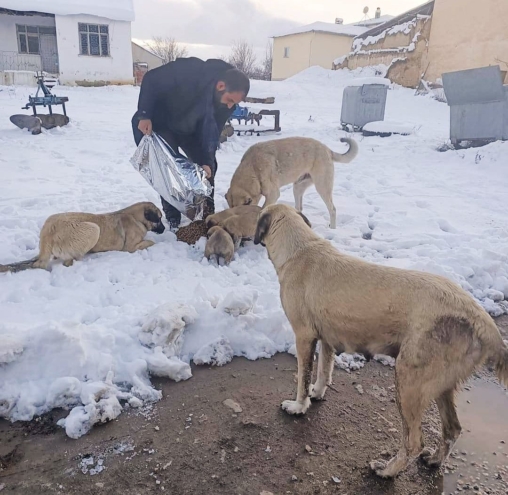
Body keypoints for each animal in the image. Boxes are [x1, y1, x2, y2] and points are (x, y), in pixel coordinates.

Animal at [0, 202, 165, 274]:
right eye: (159, 219)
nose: (164, 229)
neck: (136, 218)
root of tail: (47, 234)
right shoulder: (129, 247)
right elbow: (150, 242)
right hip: (93, 228)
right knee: (68, 261)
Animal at [224, 136, 360, 229]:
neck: (254, 168)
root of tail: (327, 149)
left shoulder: (273, 194)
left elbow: (263, 208)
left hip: (322, 187)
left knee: (332, 209)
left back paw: (332, 228)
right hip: (298, 187)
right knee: (299, 207)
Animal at [253, 204, 508, 480]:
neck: (300, 249)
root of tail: (482, 320)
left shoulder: (304, 336)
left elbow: (303, 377)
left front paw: (298, 407)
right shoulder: (326, 337)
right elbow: (324, 369)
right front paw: (318, 392)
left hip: (409, 381)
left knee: (414, 442)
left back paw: (386, 470)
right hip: (441, 385)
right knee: (452, 429)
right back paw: (434, 461)